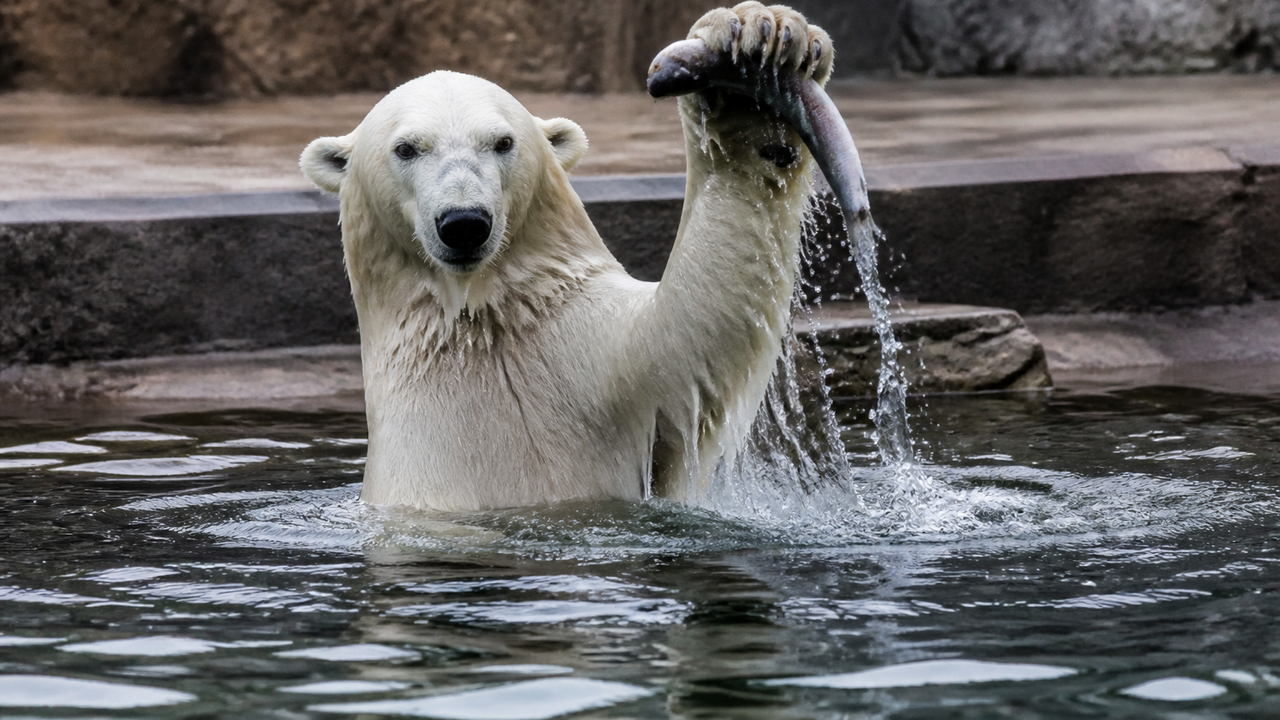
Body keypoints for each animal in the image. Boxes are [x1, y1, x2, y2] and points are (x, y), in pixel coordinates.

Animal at [299, 2, 834, 511]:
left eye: (502, 142)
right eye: (407, 148)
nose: (464, 223)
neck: (478, 319)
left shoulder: (591, 359)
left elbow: (691, 328)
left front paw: (760, 50)